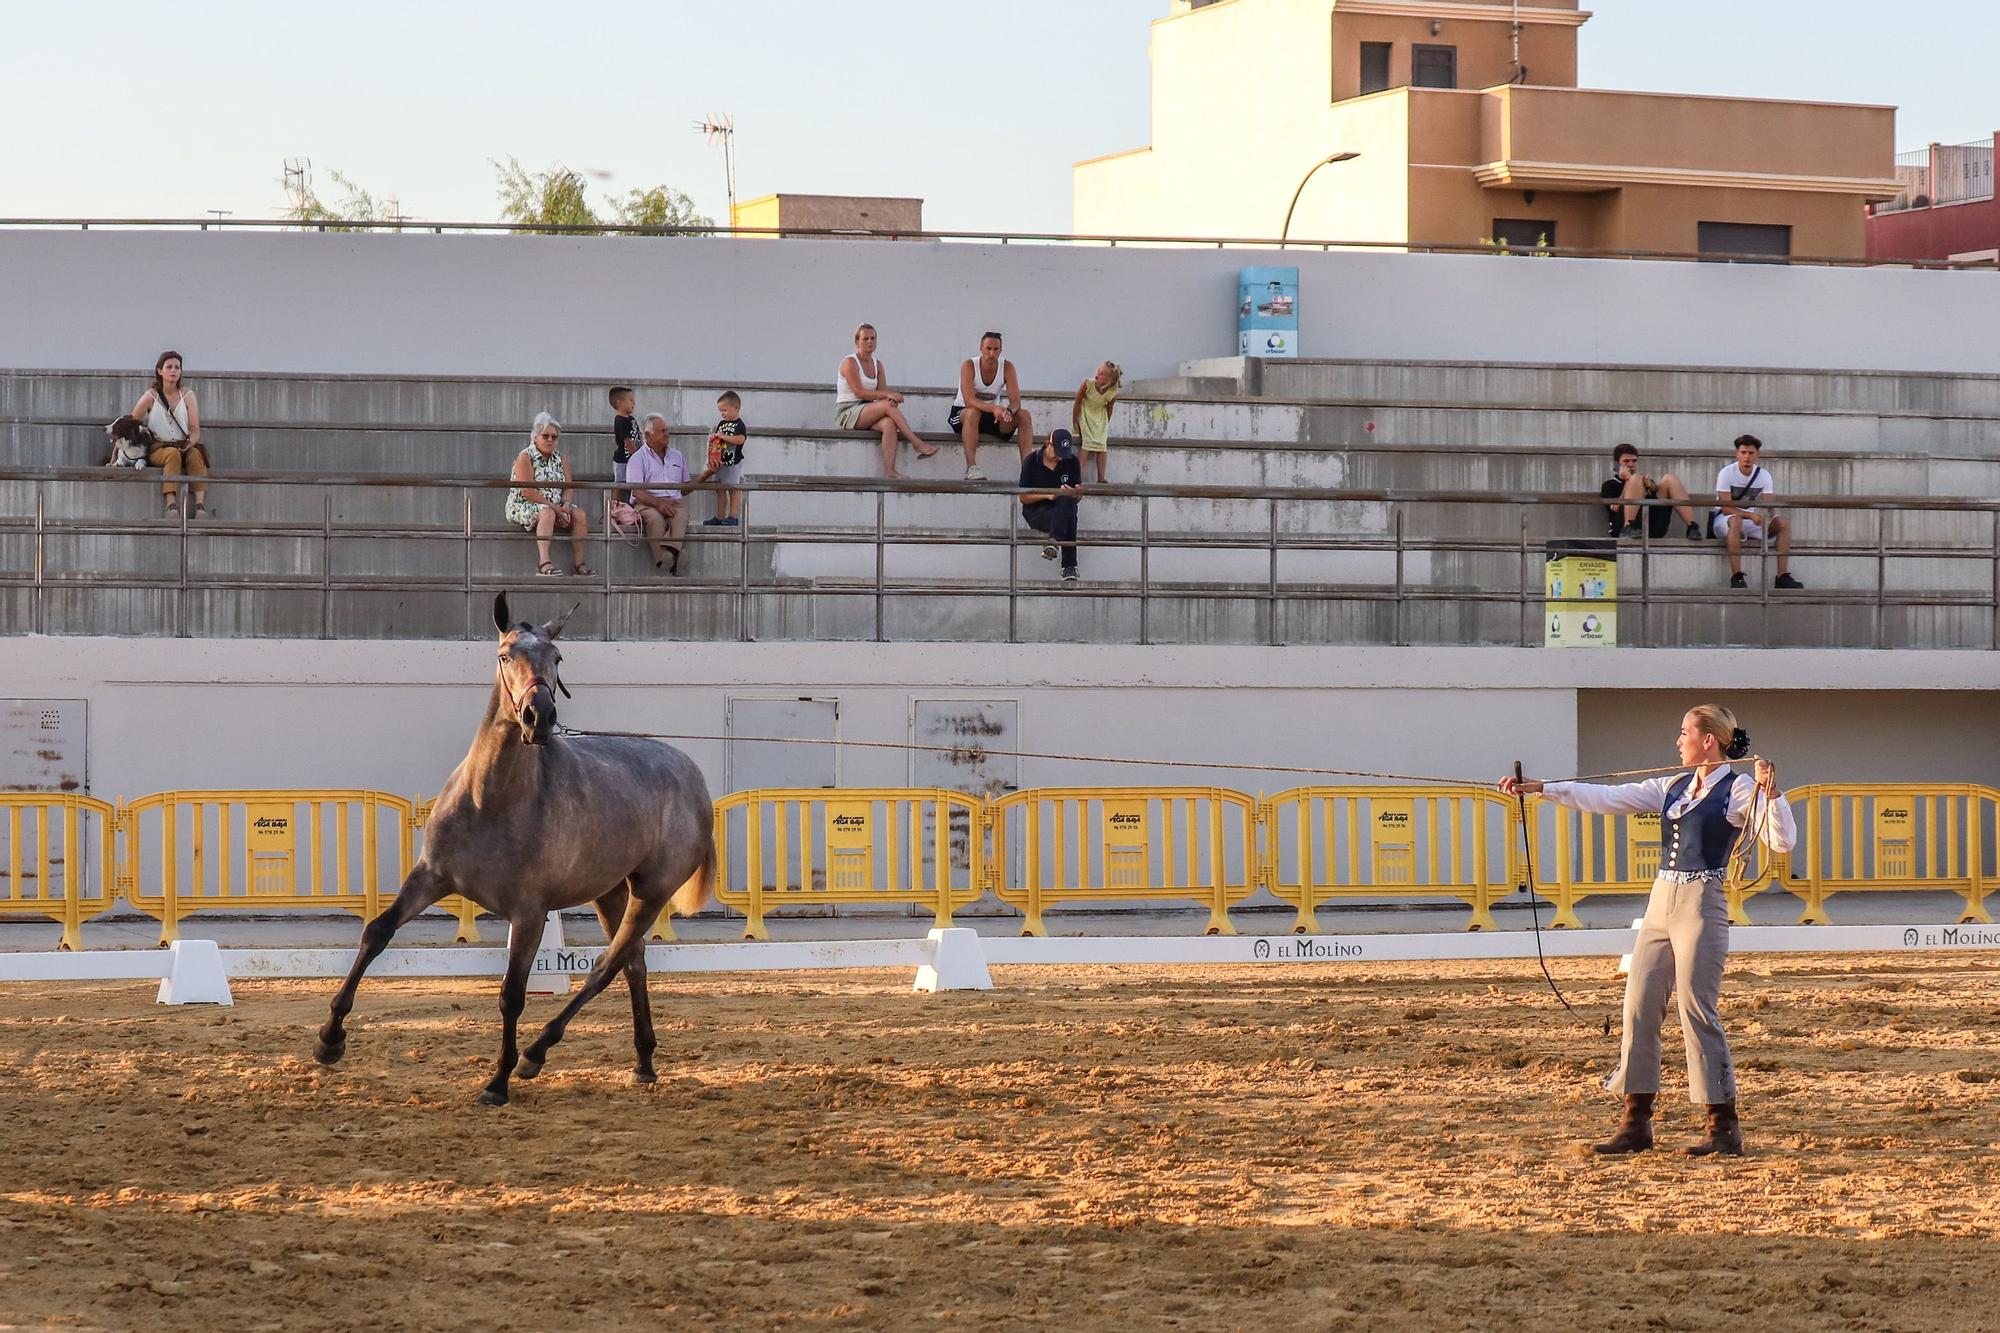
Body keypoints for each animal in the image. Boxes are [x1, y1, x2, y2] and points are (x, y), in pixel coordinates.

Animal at [316, 592, 716, 1096]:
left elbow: (512, 995)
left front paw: (498, 1081)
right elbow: (377, 934)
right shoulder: (430, 878)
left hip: (651, 891)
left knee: (606, 965)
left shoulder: (528, 914)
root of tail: (691, 773)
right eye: (505, 655)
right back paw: (642, 1062)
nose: (538, 717)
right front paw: (329, 1039)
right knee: (633, 963)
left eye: (557, 658)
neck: (491, 800)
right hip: (610, 891)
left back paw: (536, 1053)